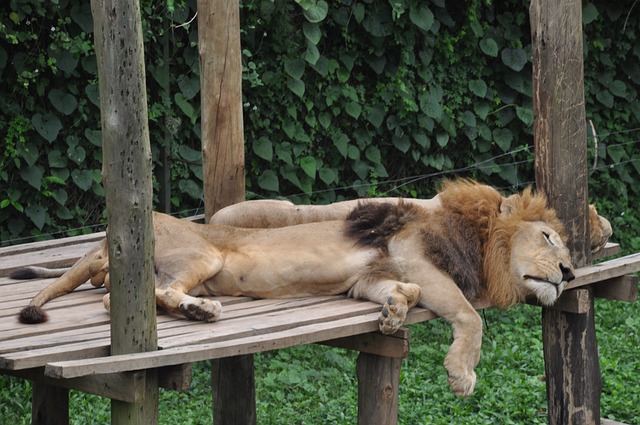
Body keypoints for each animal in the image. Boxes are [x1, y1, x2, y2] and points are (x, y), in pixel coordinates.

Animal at [12, 180, 612, 398]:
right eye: (549, 237)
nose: (570, 274)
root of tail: (108, 235)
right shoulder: (416, 255)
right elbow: (470, 314)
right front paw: (462, 373)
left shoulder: (372, 274)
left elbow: (399, 292)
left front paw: (393, 312)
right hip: (200, 255)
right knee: (122, 297)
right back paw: (201, 310)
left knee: (113, 294)